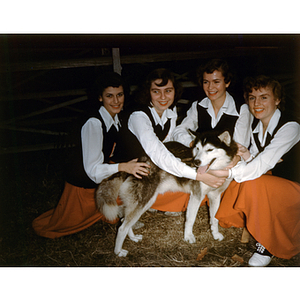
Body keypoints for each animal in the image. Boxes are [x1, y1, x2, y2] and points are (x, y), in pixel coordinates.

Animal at [95, 130, 237, 256]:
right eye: (197, 148)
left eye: (210, 150)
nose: (196, 162)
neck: (215, 170)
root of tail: (137, 163)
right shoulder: (196, 196)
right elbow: (190, 219)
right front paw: (188, 237)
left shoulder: (215, 196)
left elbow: (214, 218)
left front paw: (215, 234)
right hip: (144, 202)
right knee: (122, 227)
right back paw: (118, 252)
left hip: (145, 202)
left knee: (124, 220)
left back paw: (133, 238)